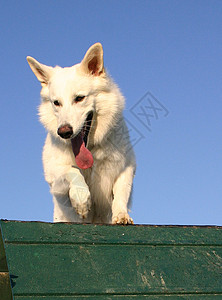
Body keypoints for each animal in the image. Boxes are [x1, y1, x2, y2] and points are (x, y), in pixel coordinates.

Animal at [26, 43, 136, 224]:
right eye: (56, 103)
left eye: (79, 98)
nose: (64, 132)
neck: (90, 148)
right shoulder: (54, 174)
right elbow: (72, 171)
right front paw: (81, 199)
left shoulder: (125, 167)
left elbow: (121, 193)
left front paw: (121, 215)